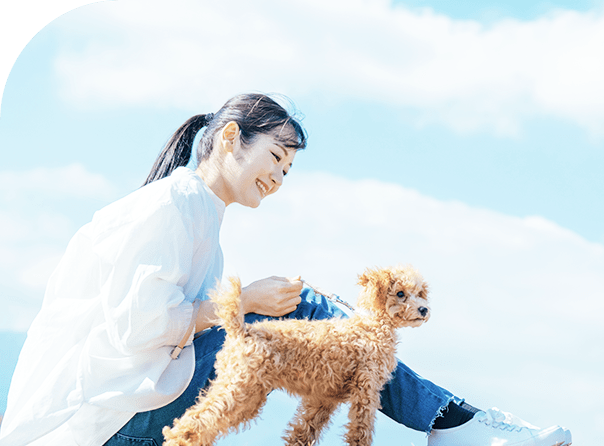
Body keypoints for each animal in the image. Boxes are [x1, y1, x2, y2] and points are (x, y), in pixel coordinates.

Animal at [163, 264, 432, 446]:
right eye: (400, 294)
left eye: (420, 293)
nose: (424, 309)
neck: (373, 327)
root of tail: (241, 330)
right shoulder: (366, 389)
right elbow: (360, 431)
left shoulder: (324, 398)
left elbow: (304, 431)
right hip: (239, 388)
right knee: (193, 423)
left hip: (248, 394)